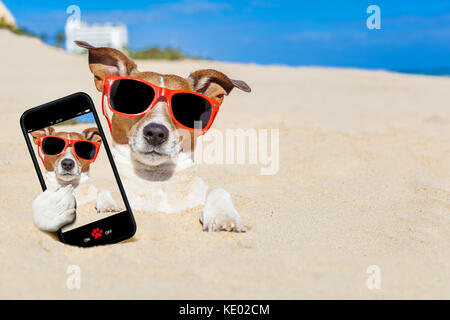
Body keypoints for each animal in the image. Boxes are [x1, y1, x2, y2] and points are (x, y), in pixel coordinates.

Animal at [34, 42, 253, 232]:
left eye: (187, 107)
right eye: (132, 98)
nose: (156, 133)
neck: (156, 179)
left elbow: (218, 190)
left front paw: (224, 216)